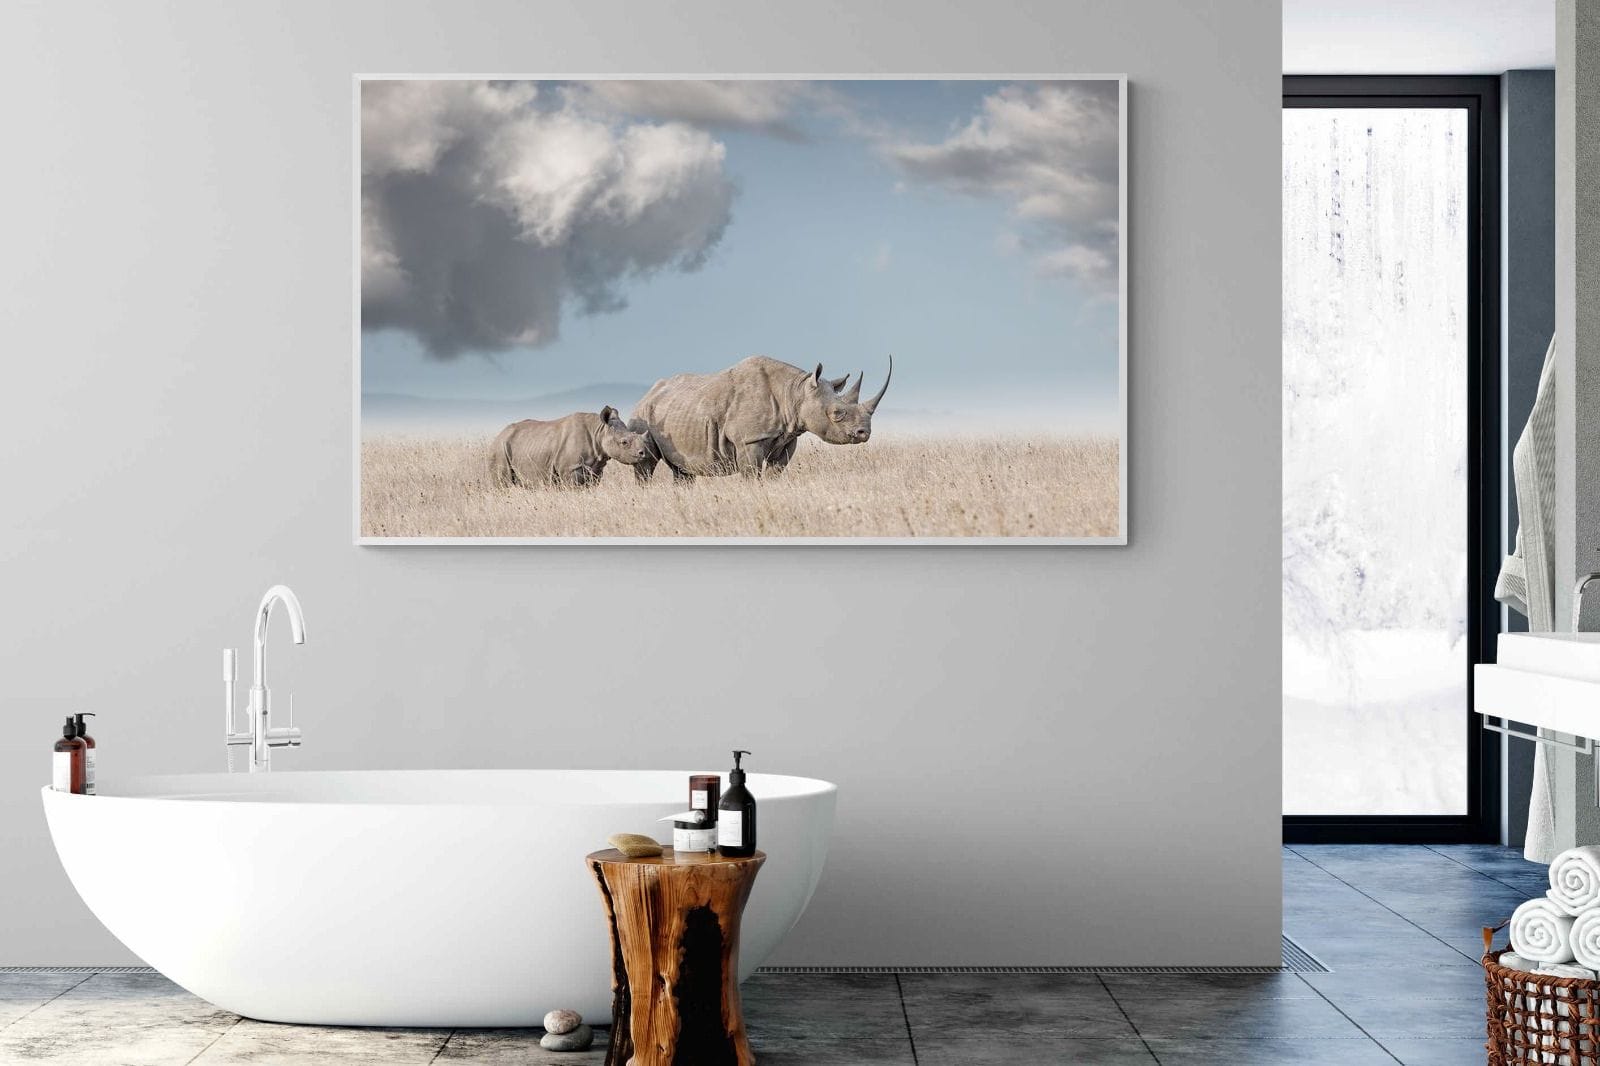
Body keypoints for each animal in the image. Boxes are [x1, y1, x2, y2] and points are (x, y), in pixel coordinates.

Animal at [488, 406, 656, 488]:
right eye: (624, 442)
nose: (644, 453)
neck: (599, 431)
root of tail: (499, 435)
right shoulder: (571, 468)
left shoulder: (596, 468)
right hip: (500, 448)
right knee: (502, 484)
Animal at [630, 355, 891, 480]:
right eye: (837, 413)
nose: (864, 433)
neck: (795, 392)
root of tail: (646, 394)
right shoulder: (750, 440)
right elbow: (752, 474)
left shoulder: (787, 439)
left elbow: (776, 471)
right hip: (642, 416)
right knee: (645, 463)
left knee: (682, 471)